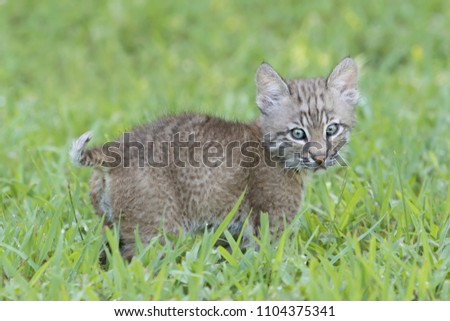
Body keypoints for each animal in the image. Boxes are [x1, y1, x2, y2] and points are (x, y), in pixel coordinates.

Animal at [70, 57, 358, 258]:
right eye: (298, 133)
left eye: (332, 129)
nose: (320, 157)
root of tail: (115, 149)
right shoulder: (272, 218)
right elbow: (275, 257)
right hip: (159, 231)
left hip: (111, 226)